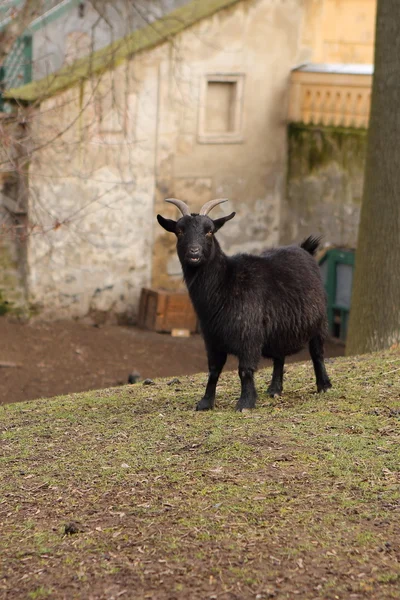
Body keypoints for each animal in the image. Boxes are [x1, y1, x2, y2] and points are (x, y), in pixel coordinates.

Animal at [156, 199, 332, 410]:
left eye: (210, 231)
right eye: (179, 231)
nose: (194, 253)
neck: (226, 282)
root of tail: (304, 249)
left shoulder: (249, 335)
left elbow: (245, 370)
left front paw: (245, 403)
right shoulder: (212, 339)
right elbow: (213, 370)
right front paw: (205, 402)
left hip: (319, 321)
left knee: (317, 353)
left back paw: (324, 385)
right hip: (279, 327)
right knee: (279, 357)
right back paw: (274, 389)